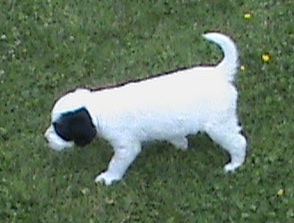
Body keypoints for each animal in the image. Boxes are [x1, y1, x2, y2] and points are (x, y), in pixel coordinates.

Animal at [44, 32, 247, 186]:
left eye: (59, 128)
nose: (46, 138)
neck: (97, 109)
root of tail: (219, 73)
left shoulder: (126, 146)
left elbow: (116, 163)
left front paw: (108, 178)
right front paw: (181, 145)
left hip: (219, 126)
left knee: (239, 142)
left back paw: (235, 165)